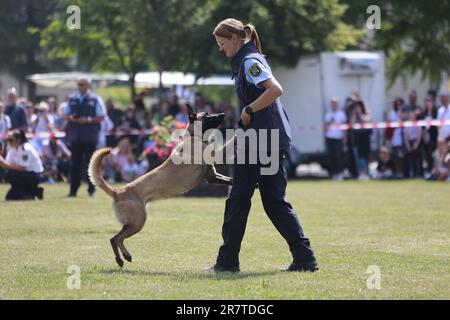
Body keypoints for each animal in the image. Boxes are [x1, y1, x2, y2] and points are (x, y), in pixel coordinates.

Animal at [89, 105, 234, 268]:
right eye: (207, 115)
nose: (223, 113)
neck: (193, 137)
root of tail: (118, 191)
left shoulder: (212, 176)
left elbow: (230, 180)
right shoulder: (217, 156)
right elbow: (229, 143)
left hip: (135, 223)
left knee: (117, 238)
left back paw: (123, 257)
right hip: (137, 222)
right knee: (115, 238)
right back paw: (122, 258)